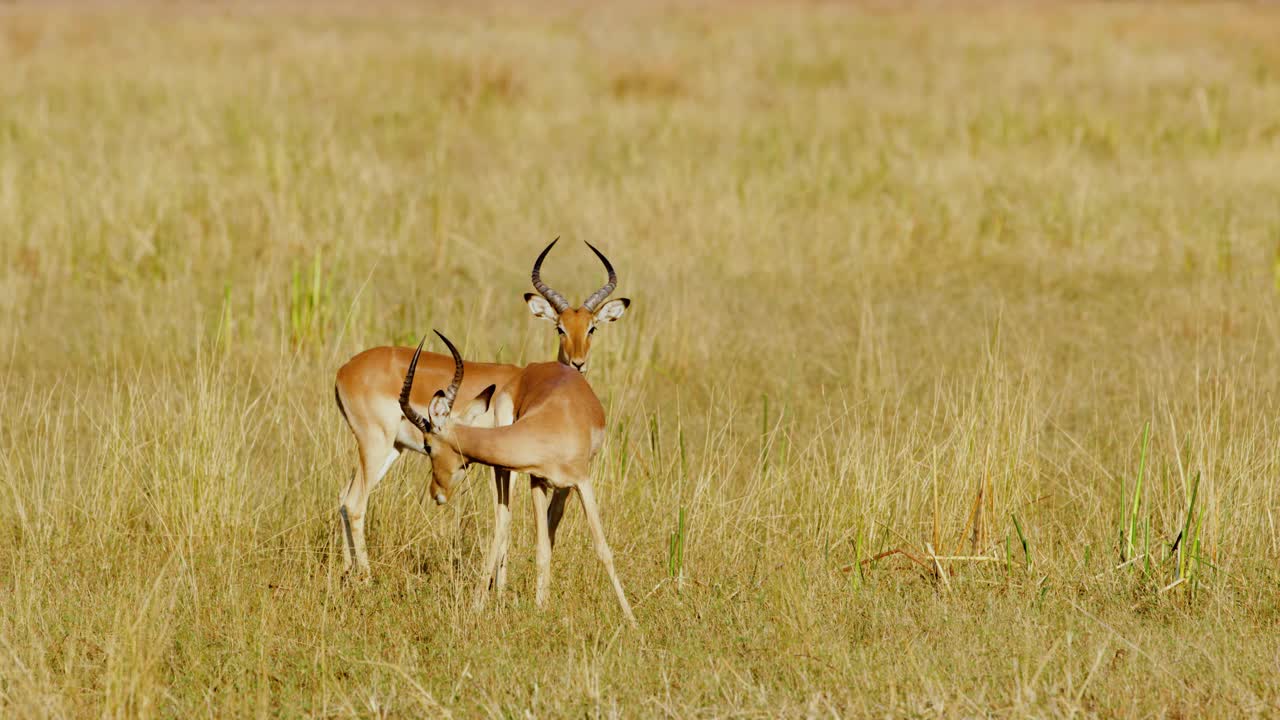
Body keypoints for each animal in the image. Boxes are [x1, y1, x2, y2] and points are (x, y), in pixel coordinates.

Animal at [330, 238, 629, 573]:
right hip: (375, 444)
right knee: (355, 502)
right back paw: (366, 577)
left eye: (591, 328)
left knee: (343, 498)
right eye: (560, 328)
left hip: (391, 448)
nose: (578, 363)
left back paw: (347, 572)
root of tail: (344, 370)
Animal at [399, 330, 640, 622]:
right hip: (505, 467)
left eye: (427, 445)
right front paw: (540, 608)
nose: (436, 492)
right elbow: (542, 548)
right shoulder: (536, 480)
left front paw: (632, 620)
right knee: (503, 521)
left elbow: (601, 548)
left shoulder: (581, 481)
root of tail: (537, 366)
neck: (551, 427)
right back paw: (486, 601)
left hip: (552, 484)